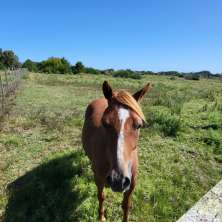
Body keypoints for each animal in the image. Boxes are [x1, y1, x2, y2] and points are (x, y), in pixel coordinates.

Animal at [82, 80, 152, 221]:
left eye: (139, 125)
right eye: (104, 123)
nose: (118, 180)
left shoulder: (132, 184)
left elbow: (126, 205)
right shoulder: (99, 179)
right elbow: (101, 197)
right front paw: (101, 217)